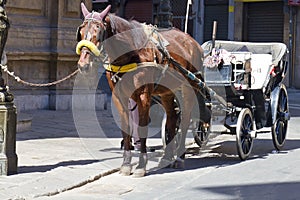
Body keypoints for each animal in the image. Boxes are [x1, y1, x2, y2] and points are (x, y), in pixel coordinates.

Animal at [76, 3, 210, 177]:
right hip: (167, 92)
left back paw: (180, 157)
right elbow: (126, 127)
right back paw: (167, 157)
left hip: (188, 89)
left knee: (185, 120)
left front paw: (141, 165)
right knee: (172, 119)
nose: (83, 64)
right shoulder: (118, 96)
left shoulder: (144, 95)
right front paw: (126, 164)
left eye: (98, 31)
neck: (131, 52)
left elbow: (142, 126)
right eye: (81, 31)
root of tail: (195, 44)